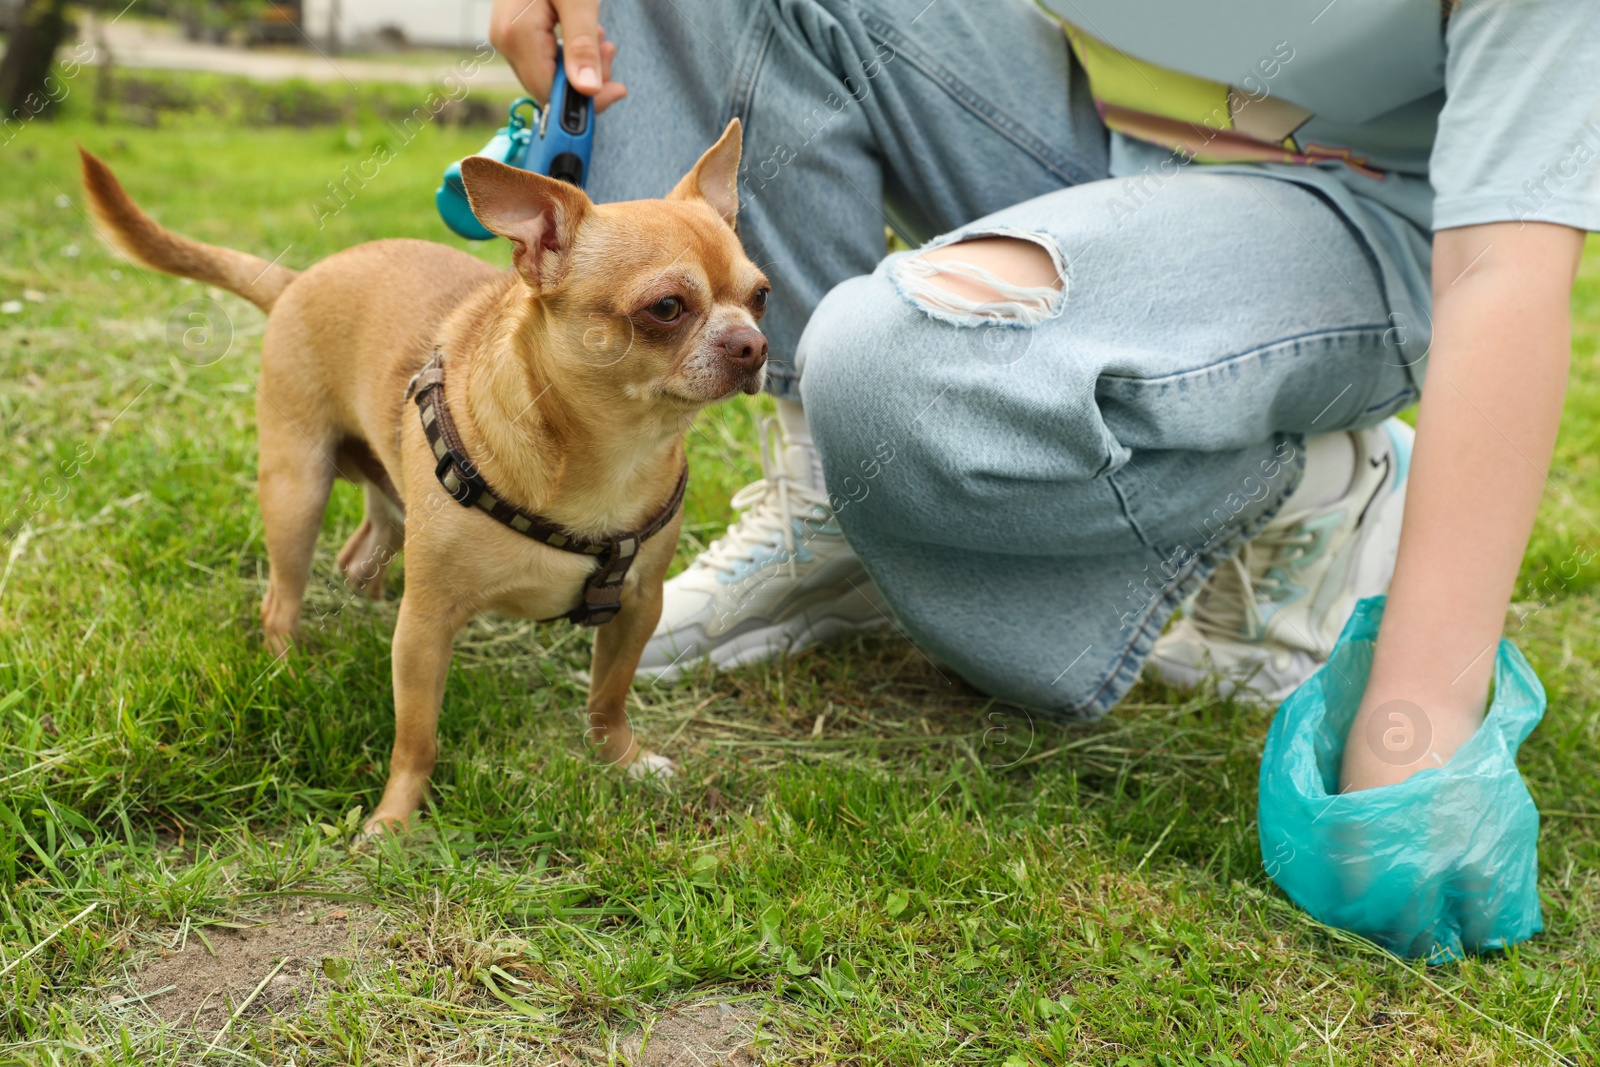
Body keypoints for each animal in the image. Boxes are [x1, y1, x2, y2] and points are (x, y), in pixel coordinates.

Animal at [81, 119, 768, 831]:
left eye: (761, 297)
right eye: (666, 307)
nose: (753, 345)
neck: (609, 453)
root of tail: (298, 278)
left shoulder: (638, 604)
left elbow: (608, 697)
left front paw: (624, 762)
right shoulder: (427, 626)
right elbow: (417, 738)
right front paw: (394, 821)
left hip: (386, 497)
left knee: (361, 553)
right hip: (297, 491)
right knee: (280, 601)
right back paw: (289, 671)